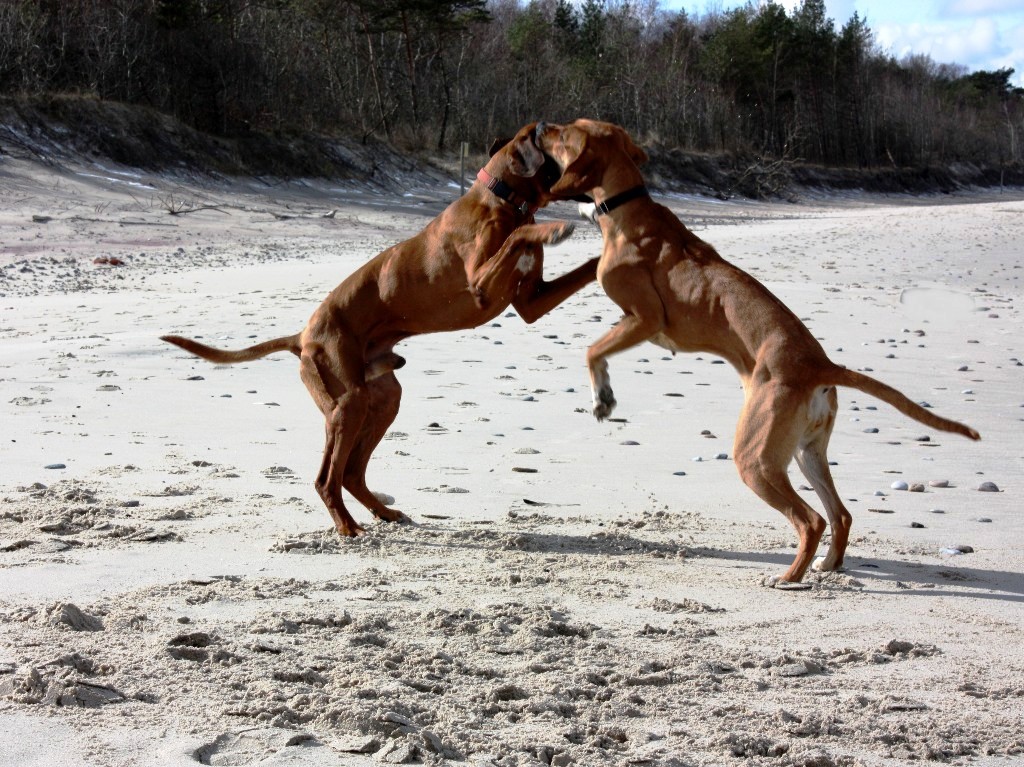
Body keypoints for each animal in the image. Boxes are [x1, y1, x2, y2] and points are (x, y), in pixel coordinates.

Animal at [159, 122, 593, 536]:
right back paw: (347, 527)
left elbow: (580, 267)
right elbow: (519, 235)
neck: (503, 199)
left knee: (351, 473)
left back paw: (382, 513)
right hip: (348, 403)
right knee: (326, 479)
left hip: (382, 399)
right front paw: (553, 229)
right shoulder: (480, 286)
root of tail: (303, 336)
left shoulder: (532, 302)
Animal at [532, 119, 978, 585]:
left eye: (564, 132)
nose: (540, 126)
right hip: (805, 452)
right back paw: (827, 566)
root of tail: (820, 364)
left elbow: (590, 351)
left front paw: (602, 398)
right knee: (841, 515)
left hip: (755, 458)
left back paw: (789, 578)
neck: (627, 206)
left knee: (811, 520)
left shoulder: (645, 320)